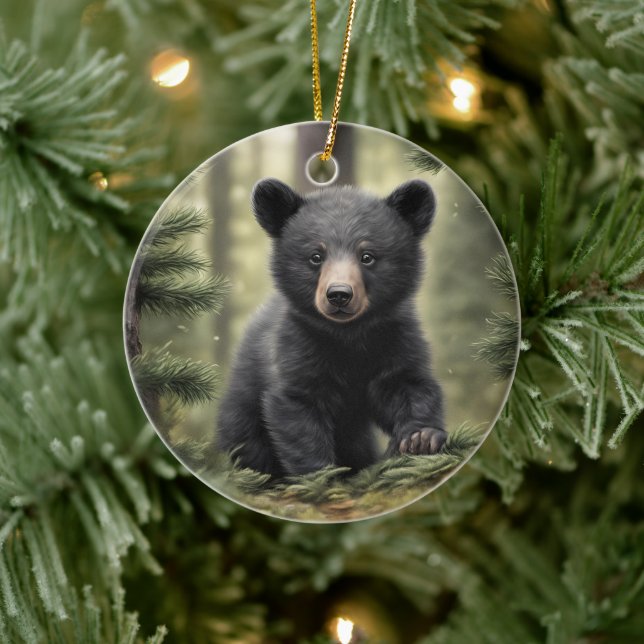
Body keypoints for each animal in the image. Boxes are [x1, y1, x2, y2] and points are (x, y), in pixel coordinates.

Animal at [216, 178, 446, 479]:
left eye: (367, 256)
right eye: (316, 256)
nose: (339, 294)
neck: (348, 336)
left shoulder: (395, 336)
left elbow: (406, 384)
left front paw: (421, 438)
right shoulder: (296, 345)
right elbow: (298, 408)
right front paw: (321, 475)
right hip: (242, 413)